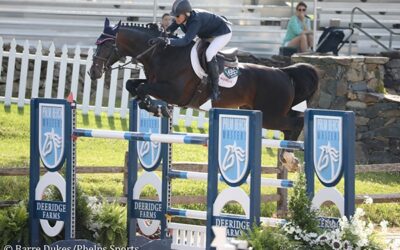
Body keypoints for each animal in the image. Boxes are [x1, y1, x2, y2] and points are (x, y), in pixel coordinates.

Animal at [90, 17, 318, 170]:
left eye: (107, 44)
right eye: (96, 43)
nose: (93, 72)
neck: (161, 53)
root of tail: (284, 72)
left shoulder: (175, 92)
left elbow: (142, 89)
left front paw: (157, 108)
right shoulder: (155, 83)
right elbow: (132, 85)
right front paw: (154, 107)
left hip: (270, 115)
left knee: (296, 123)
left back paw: (289, 157)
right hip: (264, 111)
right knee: (293, 122)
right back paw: (289, 160)